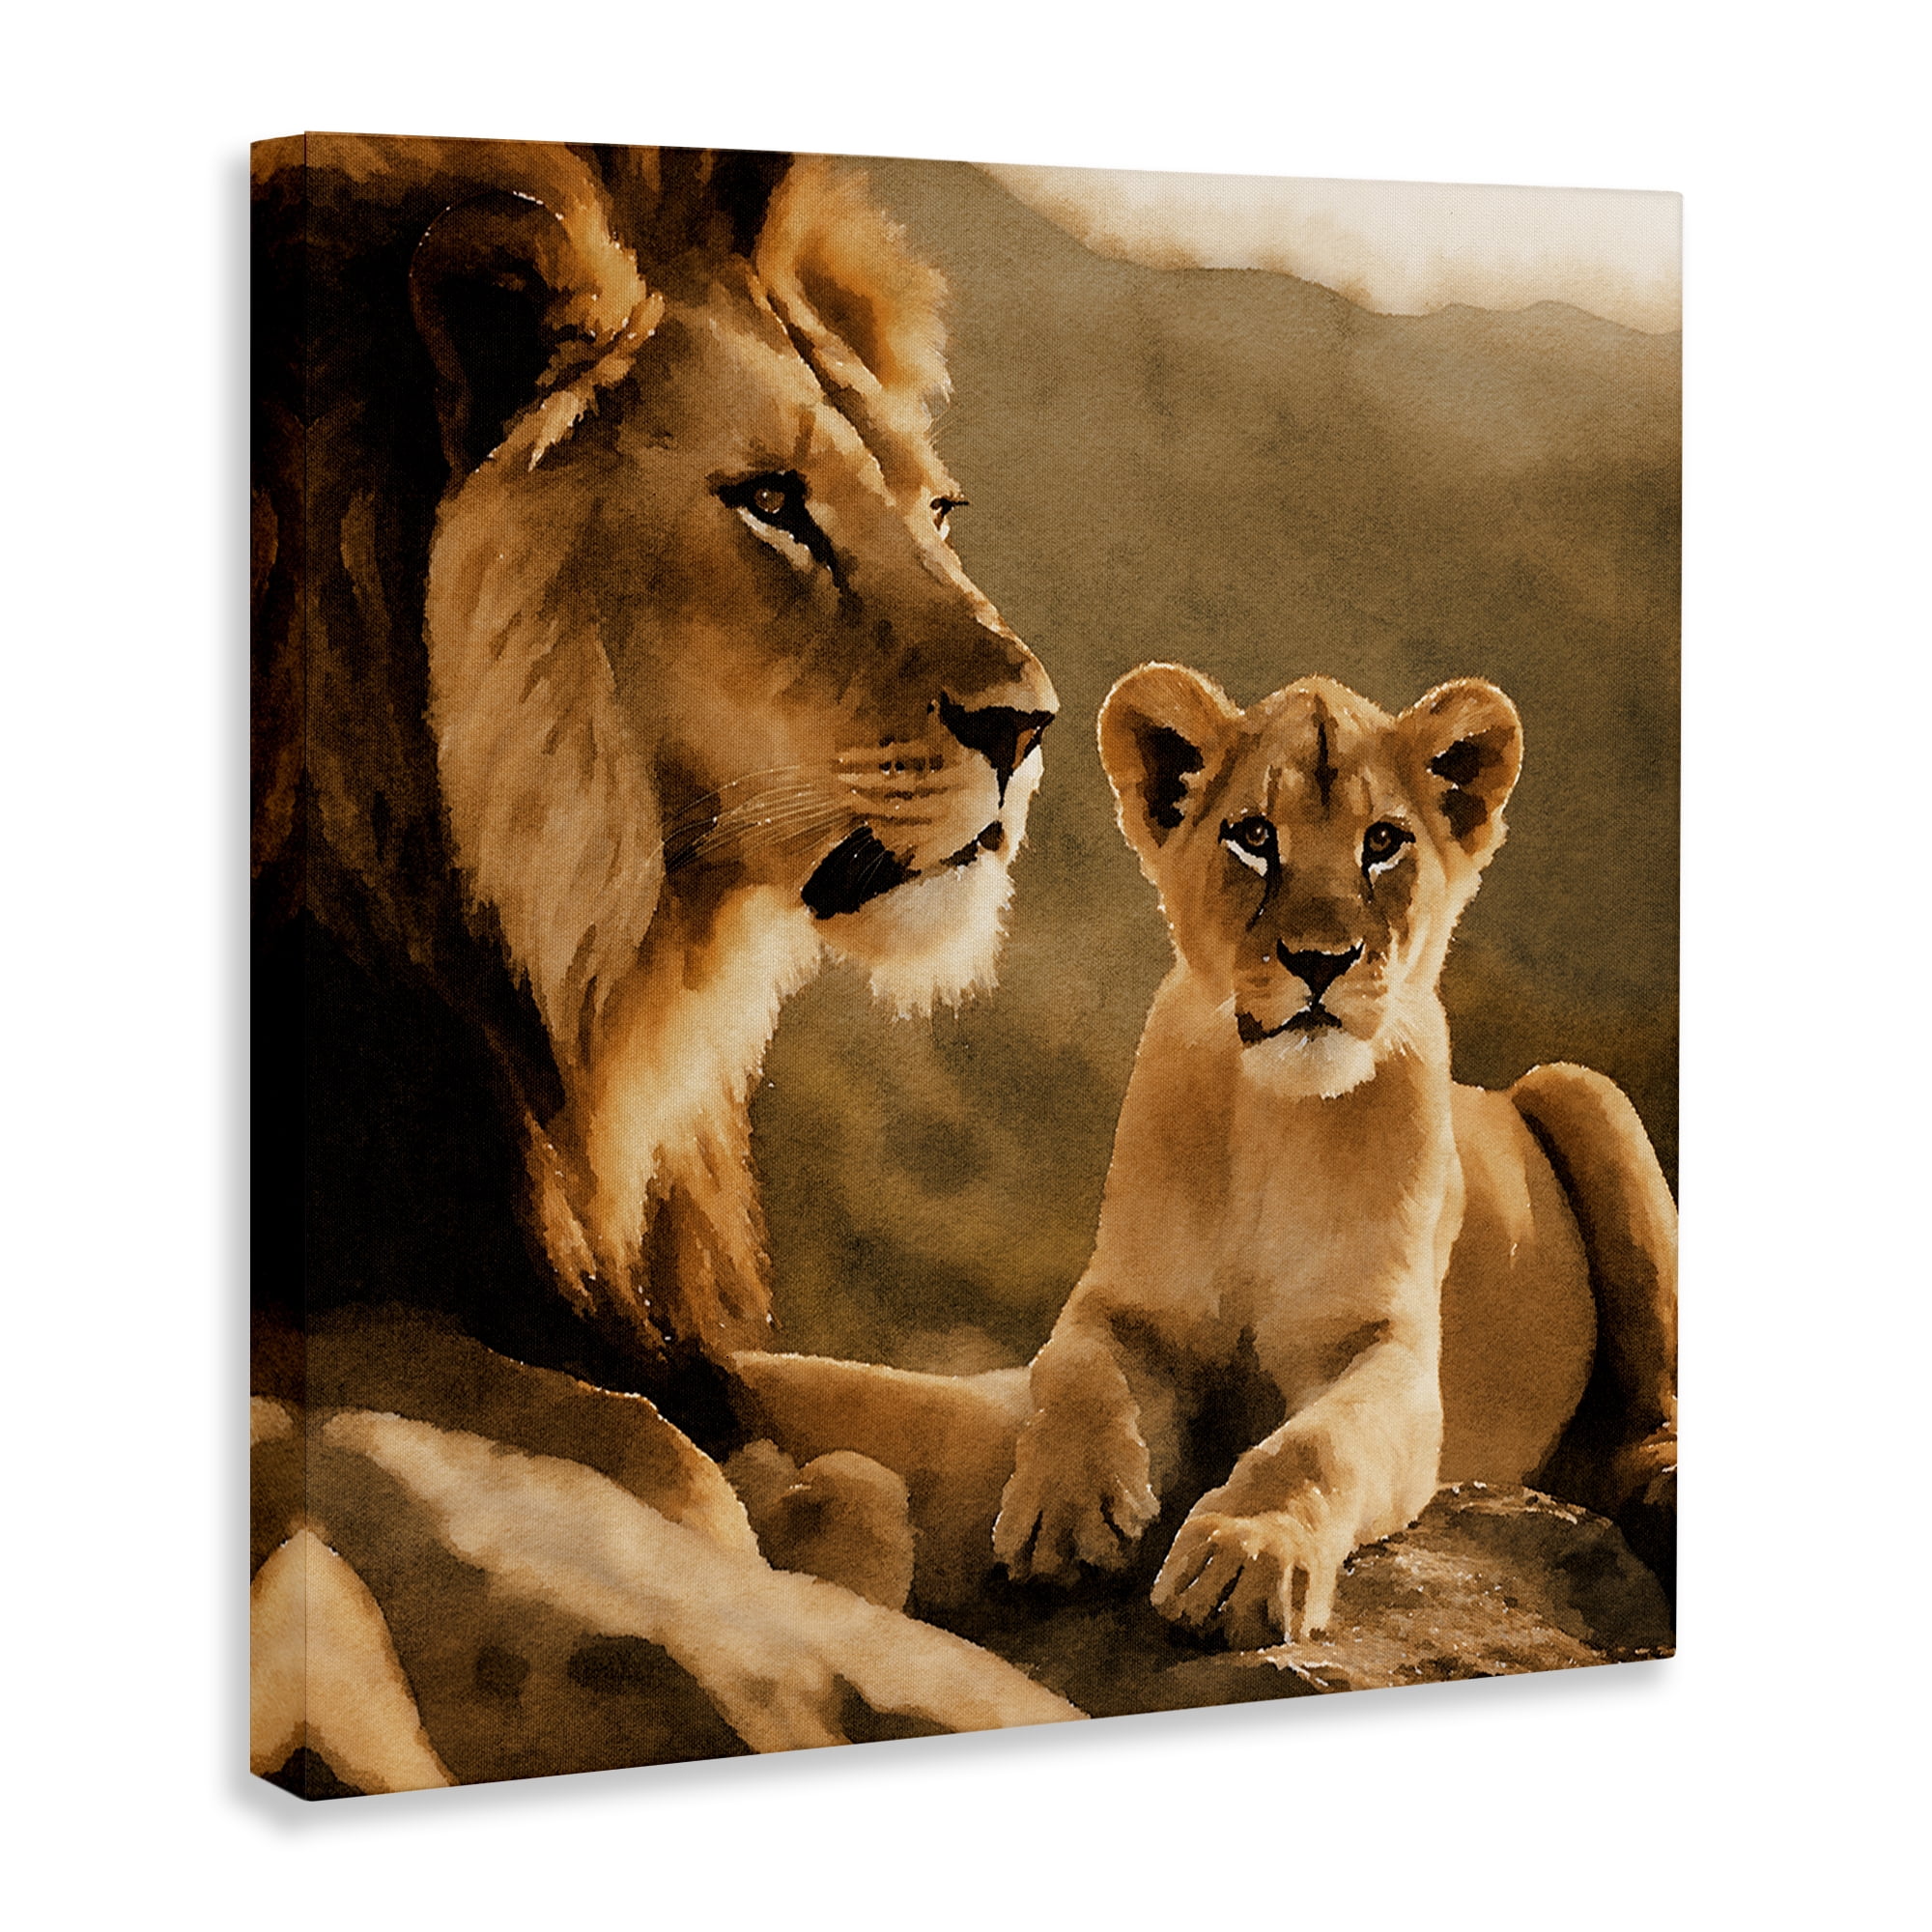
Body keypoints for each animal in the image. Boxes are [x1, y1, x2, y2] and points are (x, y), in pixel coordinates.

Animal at [991, 665, 1677, 1647]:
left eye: (1383, 842)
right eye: (1253, 837)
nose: (1321, 960)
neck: (1279, 1122)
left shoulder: (1389, 1353)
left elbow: (1313, 1445)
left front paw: (1244, 1555)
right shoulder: (1126, 1301)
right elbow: (1074, 1371)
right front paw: (1063, 1510)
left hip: (1582, 1087)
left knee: (1654, 1410)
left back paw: (1661, 1483)